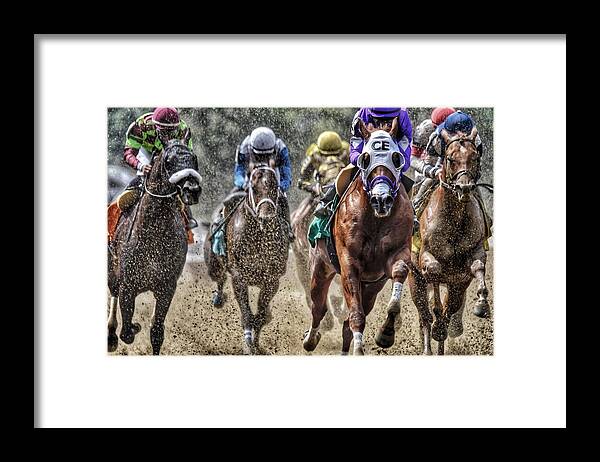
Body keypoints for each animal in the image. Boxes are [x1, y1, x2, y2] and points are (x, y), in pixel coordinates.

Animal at [106, 140, 200, 354]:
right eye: (168, 160)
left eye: (194, 158)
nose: (192, 189)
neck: (154, 233)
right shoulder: (127, 285)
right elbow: (127, 332)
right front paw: (133, 326)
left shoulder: (167, 287)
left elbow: (156, 331)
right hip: (112, 272)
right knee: (113, 294)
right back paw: (111, 335)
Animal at [205, 157, 290, 356]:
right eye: (253, 186)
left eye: (275, 185)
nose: (266, 215)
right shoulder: (239, 277)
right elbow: (246, 313)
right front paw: (248, 342)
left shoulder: (272, 279)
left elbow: (261, 314)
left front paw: (257, 342)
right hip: (214, 265)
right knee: (219, 278)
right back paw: (218, 298)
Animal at [302, 132, 414, 356]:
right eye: (366, 158)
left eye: (396, 158)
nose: (382, 199)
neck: (376, 219)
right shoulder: (349, 263)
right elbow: (355, 315)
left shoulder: (397, 253)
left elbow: (399, 272)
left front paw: (386, 332)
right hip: (320, 267)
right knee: (318, 308)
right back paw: (310, 339)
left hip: (371, 286)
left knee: (346, 322)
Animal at [390, 128, 492, 356]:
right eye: (450, 158)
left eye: (475, 157)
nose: (464, 188)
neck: (454, 220)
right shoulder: (427, 258)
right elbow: (435, 273)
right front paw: (437, 322)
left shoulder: (468, 265)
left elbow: (478, 267)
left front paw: (482, 303)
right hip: (415, 280)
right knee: (424, 316)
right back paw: (428, 345)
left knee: (448, 309)